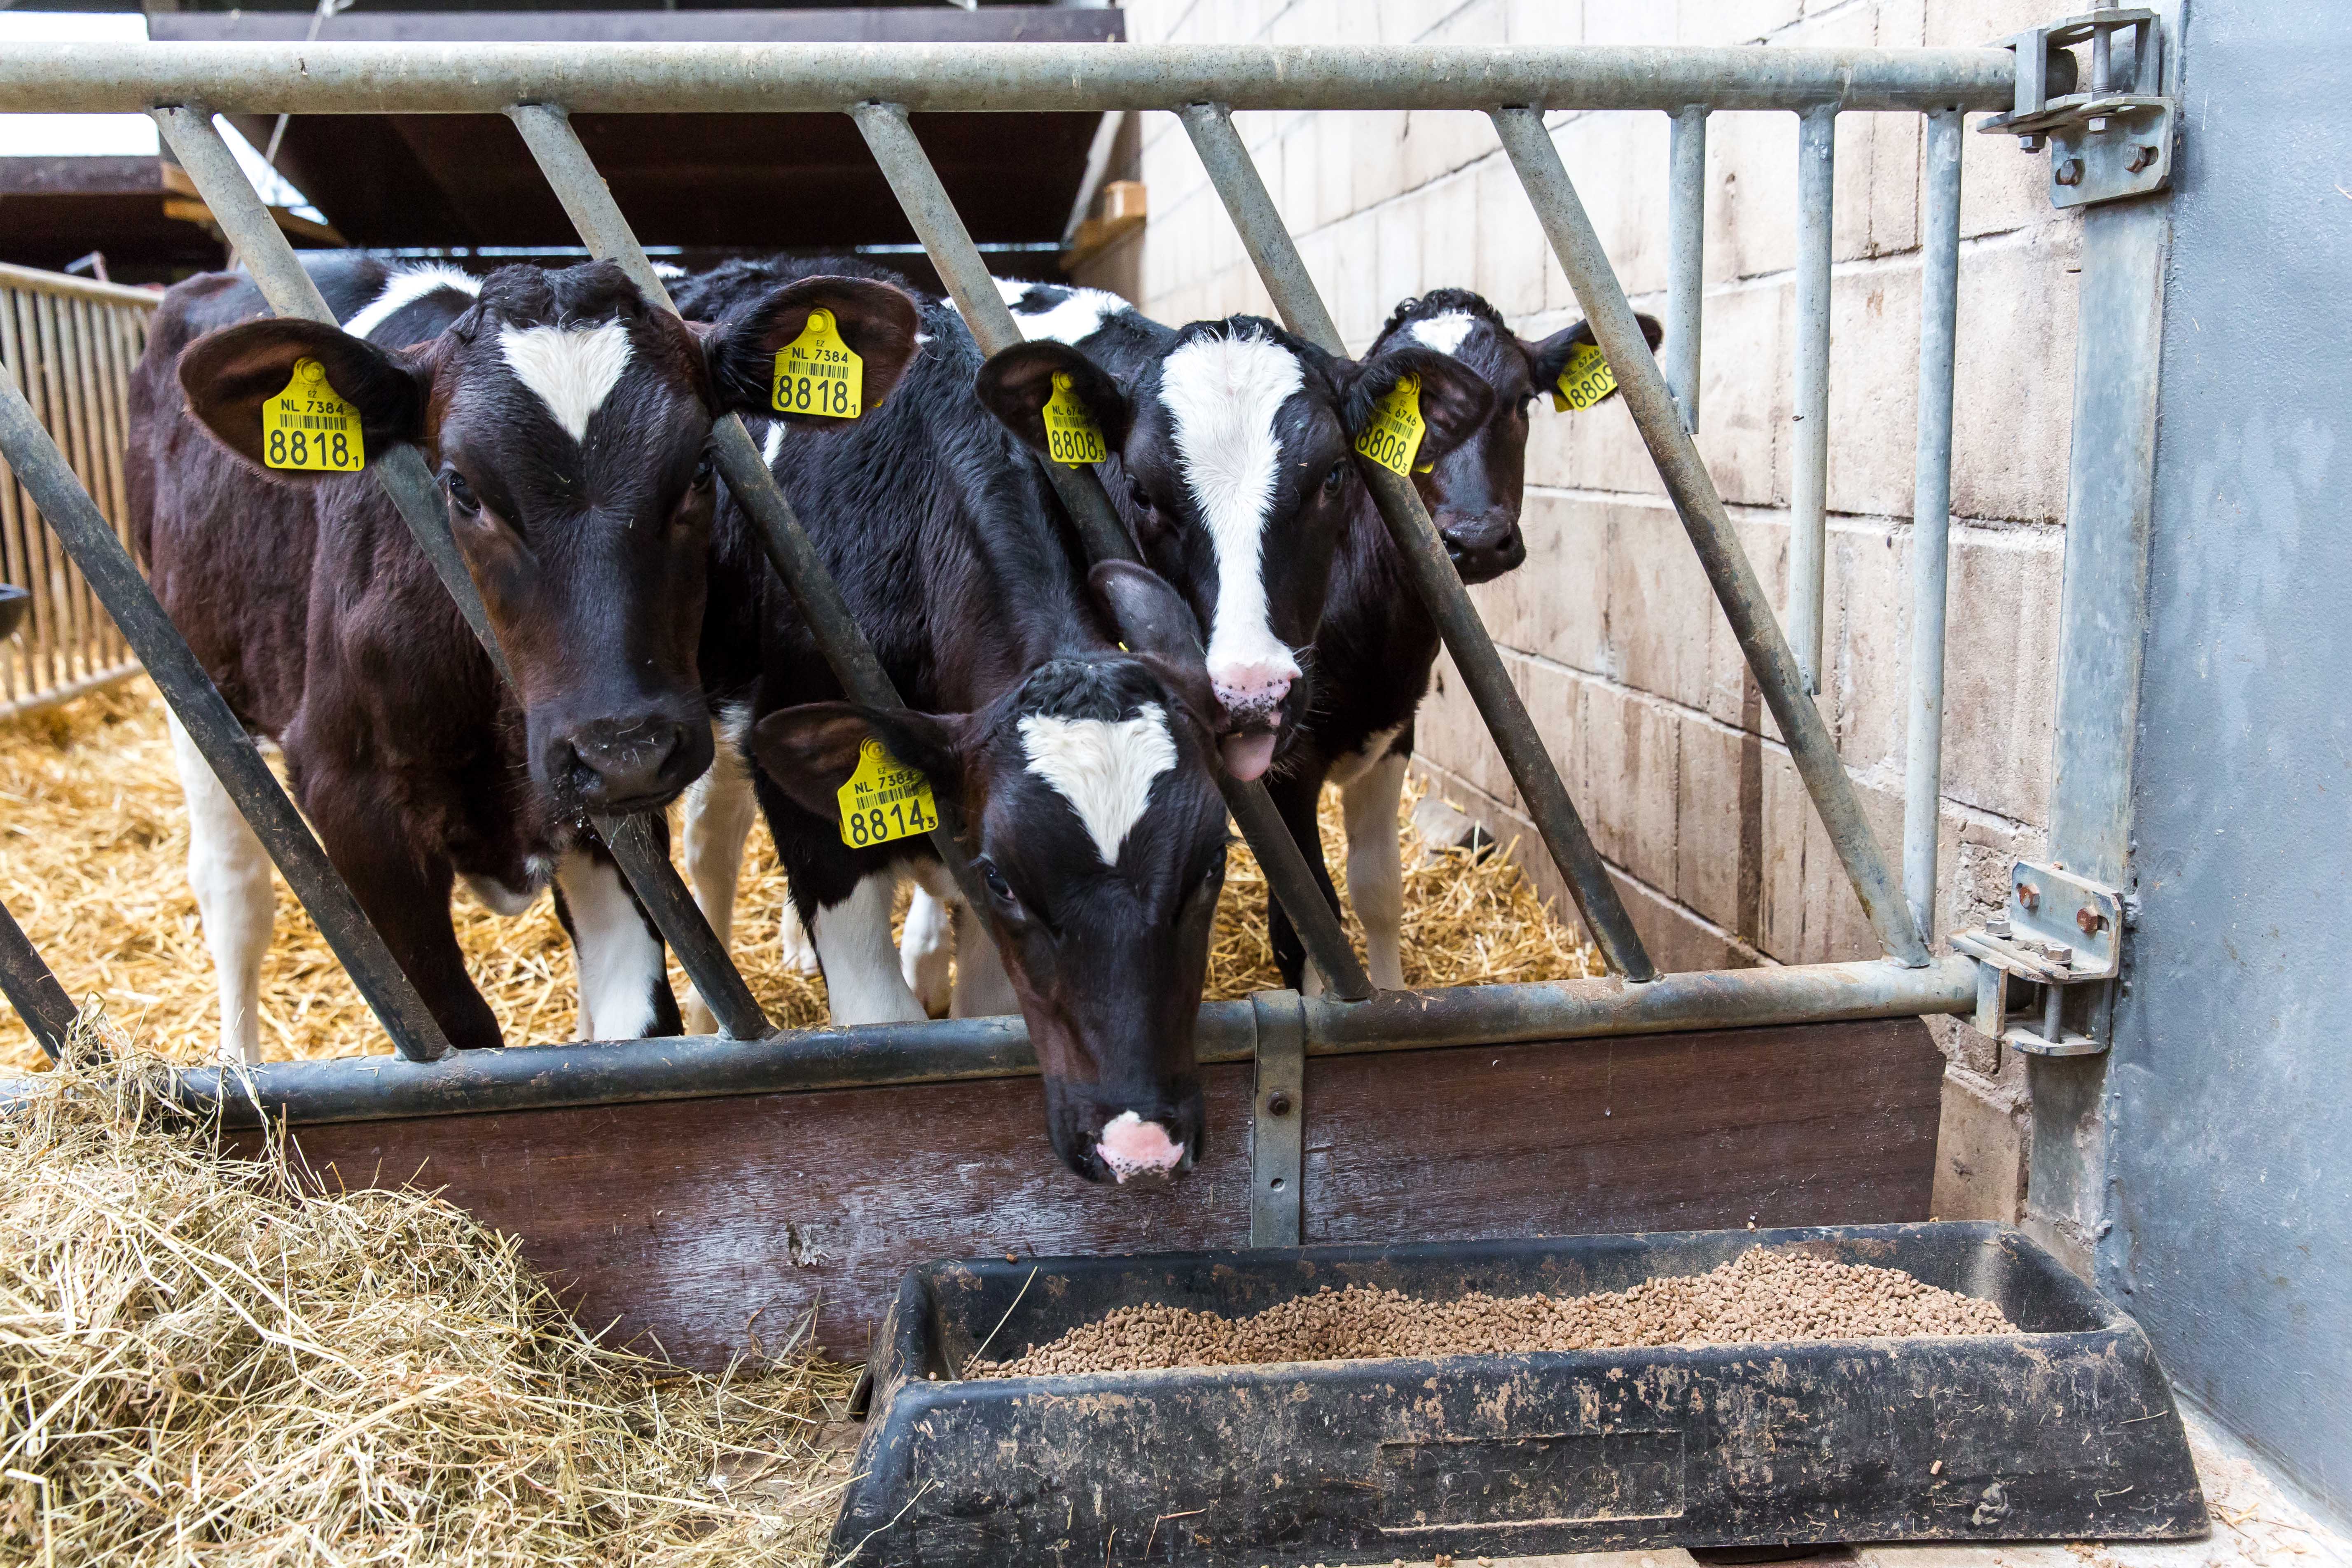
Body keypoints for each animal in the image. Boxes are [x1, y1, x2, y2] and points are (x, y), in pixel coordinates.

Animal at [127, 254, 918, 1059]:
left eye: (701, 467)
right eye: (460, 487)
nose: (625, 749)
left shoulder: (606, 823)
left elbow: (638, 1021)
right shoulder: (353, 802)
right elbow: (459, 1034)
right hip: (197, 684)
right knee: (234, 894)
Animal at [672, 257, 1234, 1183]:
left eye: (1212, 864)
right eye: (1005, 877)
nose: (1140, 1148)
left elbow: (986, 1006)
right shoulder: (815, 809)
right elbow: (881, 1018)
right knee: (710, 835)